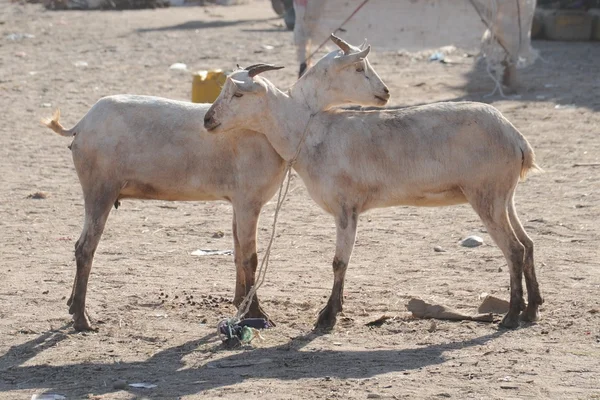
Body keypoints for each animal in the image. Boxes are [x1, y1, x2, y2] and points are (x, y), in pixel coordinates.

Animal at [42, 36, 390, 332]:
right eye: (359, 68)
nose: (385, 93)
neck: (275, 123)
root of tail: (82, 124)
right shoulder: (249, 200)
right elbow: (250, 256)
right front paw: (257, 314)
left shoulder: (238, 201)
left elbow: (237, 251)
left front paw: (240, 305)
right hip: (99, 189)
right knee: (85, 247)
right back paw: (82, 319)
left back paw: (73, 307)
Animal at [205, 40, 544, 330]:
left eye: (238, 94)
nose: (208, 120)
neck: (309, 130)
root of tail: (517, 137)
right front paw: (334, 309)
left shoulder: (346, 207)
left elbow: (339, 262)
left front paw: (327, 316)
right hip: (504, 196)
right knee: (527, 243)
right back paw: (532, 310)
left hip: (486, 194)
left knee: (514, 249)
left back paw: (512, 316)